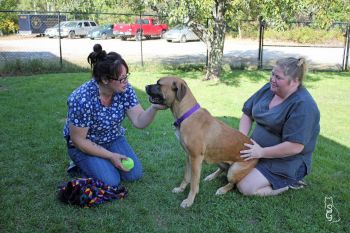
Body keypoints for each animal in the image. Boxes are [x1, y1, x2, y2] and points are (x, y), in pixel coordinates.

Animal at [145, 76, 258, 208]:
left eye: (159, 84)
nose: (145, 86)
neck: (187, 114)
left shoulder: (195, 159)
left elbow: (194, 183)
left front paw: (189, 200)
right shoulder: (188, 156)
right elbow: (186, 177)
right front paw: (180, 189)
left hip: (234, 170)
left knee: (232, 183)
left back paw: (222, 189)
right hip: (219, 160)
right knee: (223, 170)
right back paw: (211, 177)